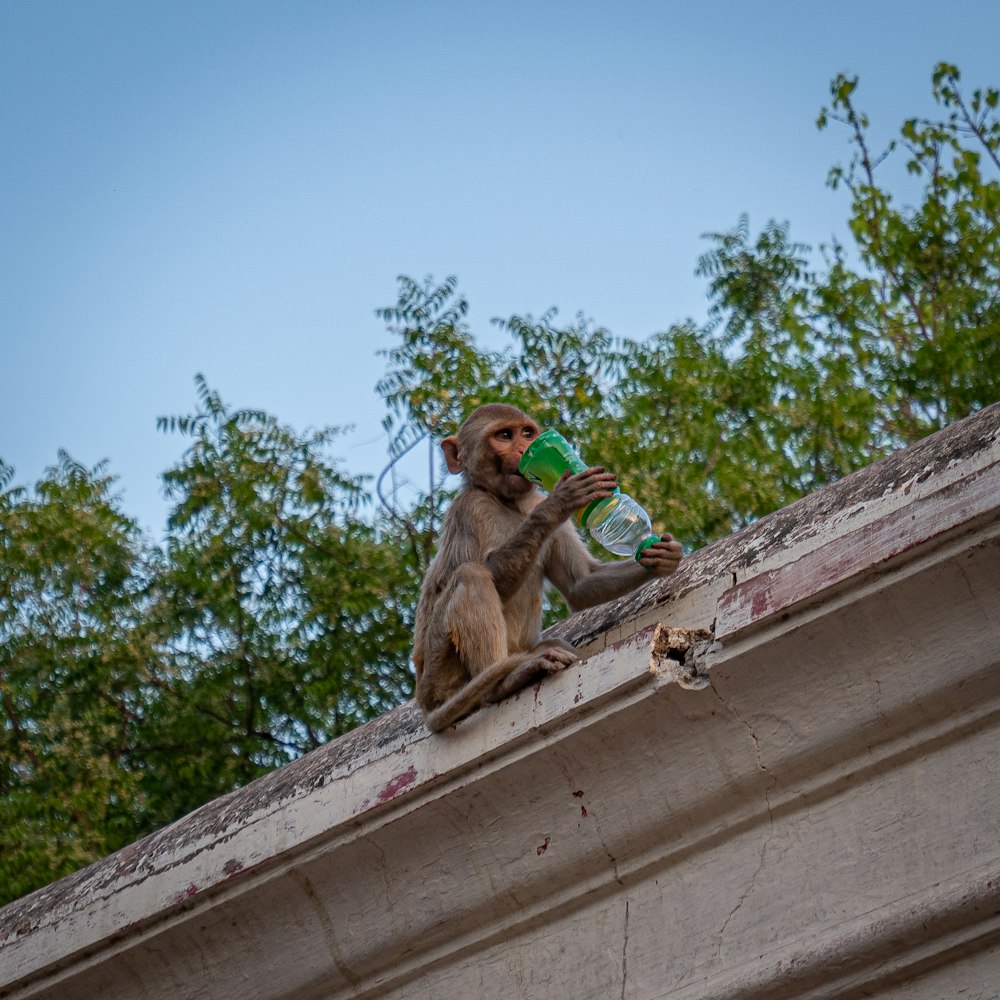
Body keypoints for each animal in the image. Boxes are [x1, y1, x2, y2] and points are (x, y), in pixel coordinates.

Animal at [410, 400, 684, 736]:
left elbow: (580, 582)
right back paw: (503, 683)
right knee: (471, 576)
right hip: (441, 670)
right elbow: (491, 573)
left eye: (527, 433)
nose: (524, 449)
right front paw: (560, 500)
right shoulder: (471, 509)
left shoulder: (530, 500)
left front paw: (659, 556)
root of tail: (425, 702)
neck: (508, 503)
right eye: (504, 435)